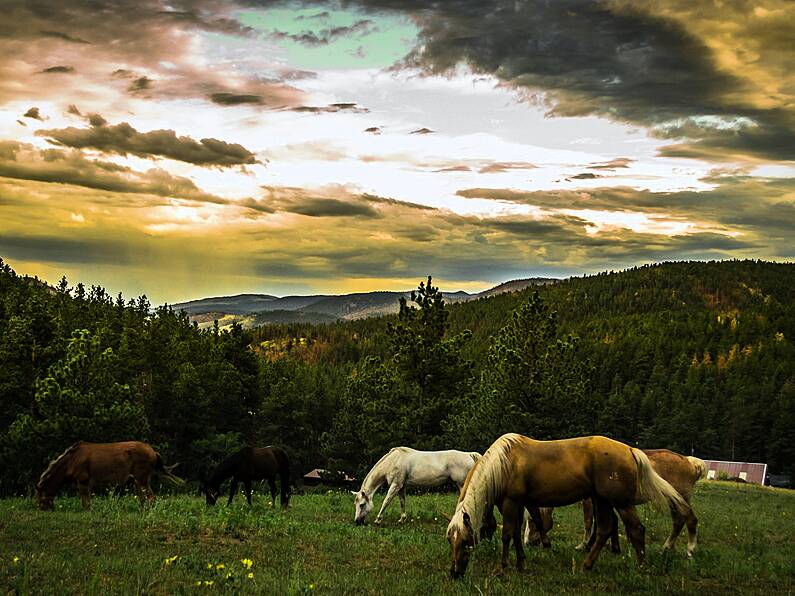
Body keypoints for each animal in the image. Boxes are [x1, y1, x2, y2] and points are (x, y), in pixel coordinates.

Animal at [36, 440, 183, 510]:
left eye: (41, 498)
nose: (42, 509)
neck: (70, 462)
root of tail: (153, 452)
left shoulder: (83, 481)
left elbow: (86, 503)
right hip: (137, 480)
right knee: (143, 498)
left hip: (142, 478)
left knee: (151, 497)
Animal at [524, 450, 708, 556]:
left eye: (532, 521)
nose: (527, 543)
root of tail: (690, 462)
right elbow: (611, 522)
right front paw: (613, 547)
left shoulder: (590, 501)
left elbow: (590, 523)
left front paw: (585, 545)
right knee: (679, 521)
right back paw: (667, 547)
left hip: (679, 498)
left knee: (690, 519)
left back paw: (690, 549)